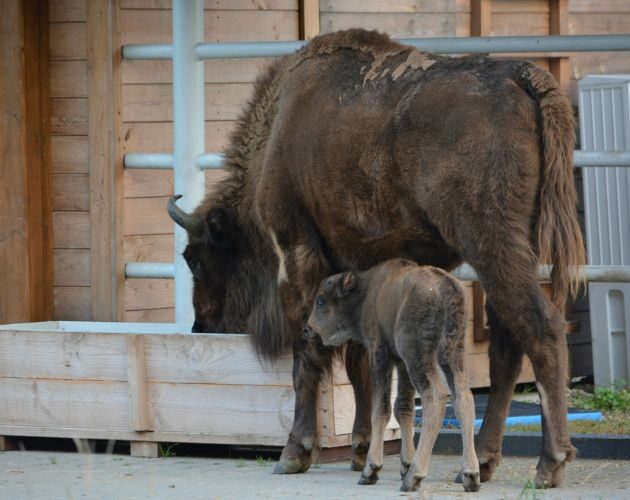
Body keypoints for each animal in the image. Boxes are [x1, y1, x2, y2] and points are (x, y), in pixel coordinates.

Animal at [308, 260, 482, 490]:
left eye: (320, 301)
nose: (308, 328)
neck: (366, 293)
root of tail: (448, 288)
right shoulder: (401, 363)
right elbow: (404, 408)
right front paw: (405, 464)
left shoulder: (380, 354)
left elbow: (380, 410)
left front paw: (371, 470)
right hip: (452, 354)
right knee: (463, 398)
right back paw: (471, 475)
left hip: (418, 356)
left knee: (435, 398)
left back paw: (414, 477)